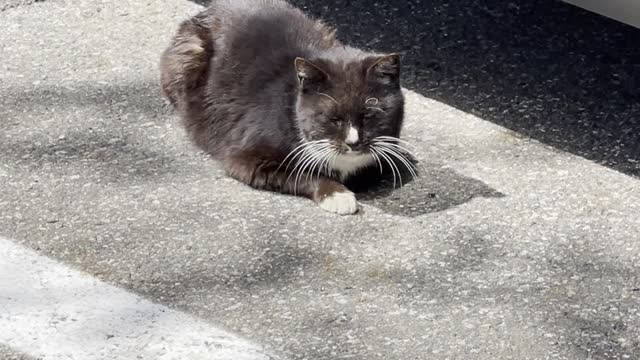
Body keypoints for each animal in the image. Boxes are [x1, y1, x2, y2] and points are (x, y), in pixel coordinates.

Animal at [160, 0, 410, 214]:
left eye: (369, 115)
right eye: (333, 118)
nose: (353, 142)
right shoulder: (246, 157)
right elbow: (302, 174)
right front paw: (337, 194)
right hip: (189, 54)